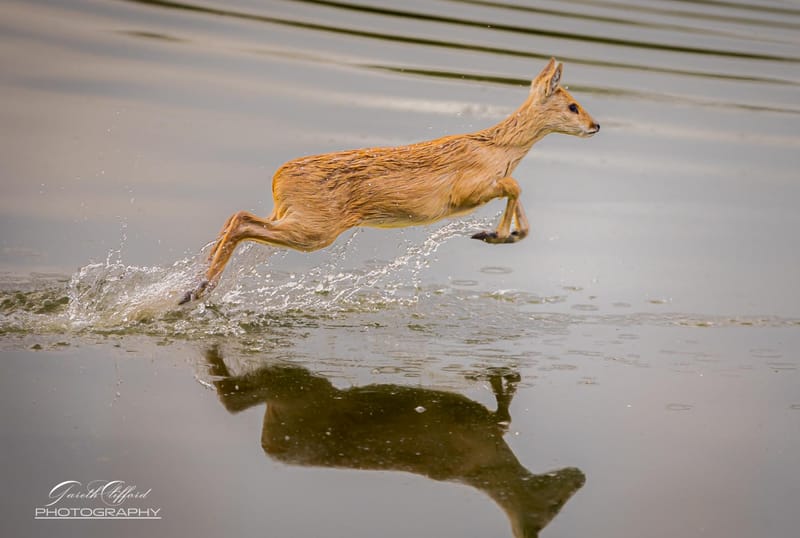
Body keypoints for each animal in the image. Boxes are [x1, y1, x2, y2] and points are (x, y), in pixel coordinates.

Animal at [180, 58, 599, 303]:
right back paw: (196, 291)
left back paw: (194, 283)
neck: (499, 148)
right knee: (240, 220)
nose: (596, 125)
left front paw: (504, 234)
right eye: (573, 105)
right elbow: (515, 186)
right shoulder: (467, 190)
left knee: (234, 218)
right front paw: (493, 234)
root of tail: (278, 177)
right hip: (315, 229)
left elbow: (519, 196)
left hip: (294, 216)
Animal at [205, 347, 586, 538]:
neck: (488, 463)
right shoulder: (473, 422)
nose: (581, 478)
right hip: (297, 389)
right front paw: (504, 377)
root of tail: (272, 445)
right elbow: (503, 412)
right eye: (555, 507)